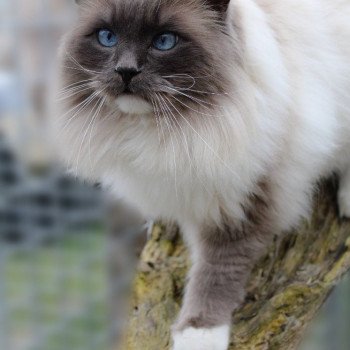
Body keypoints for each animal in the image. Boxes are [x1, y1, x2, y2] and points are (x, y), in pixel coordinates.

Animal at [51, 0, 350, 350]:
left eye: (165, 41)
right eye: (106, 37)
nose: (125, 70)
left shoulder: (242, 203)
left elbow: (215, 272)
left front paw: (199, 333)